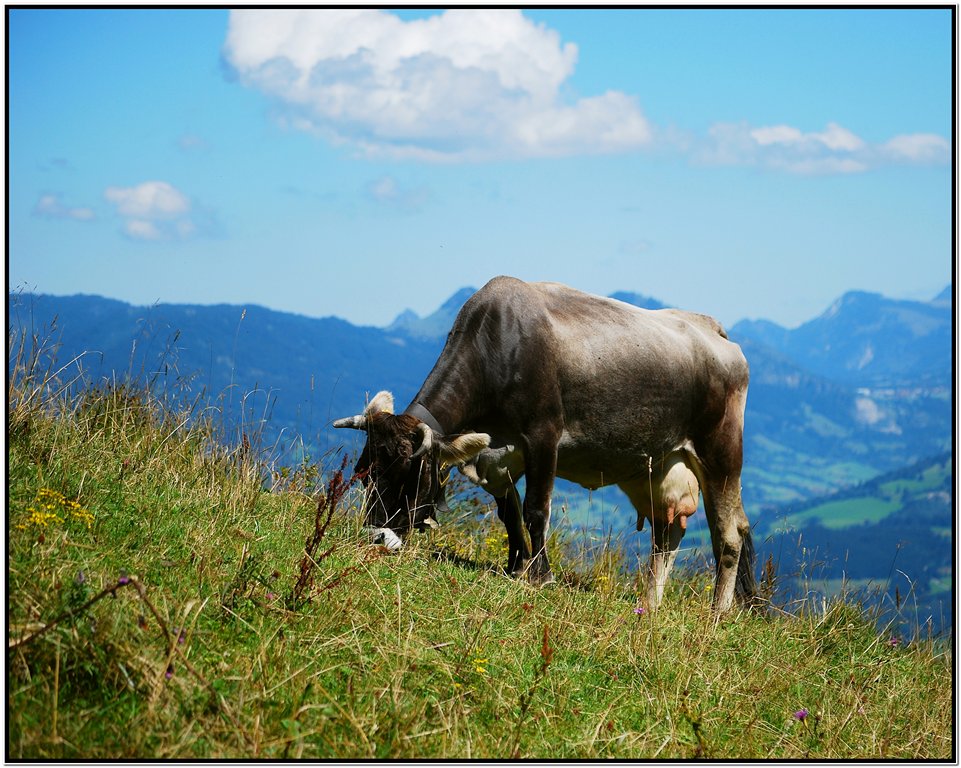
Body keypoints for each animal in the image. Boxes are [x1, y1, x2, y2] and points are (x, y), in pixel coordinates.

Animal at [335, 276, 756, 612]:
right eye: (363, 474)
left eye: (408, 475)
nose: (376, 536)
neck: (496, 345)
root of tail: (712, 329)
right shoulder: (495, 455)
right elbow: (509, 513)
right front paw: (515, 567)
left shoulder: (544, 436)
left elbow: (536, 510)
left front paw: (540, 576)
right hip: (657, 466)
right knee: (667, 533)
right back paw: (649, 603)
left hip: (720, 453)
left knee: (729, 534)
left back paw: (717, 611)